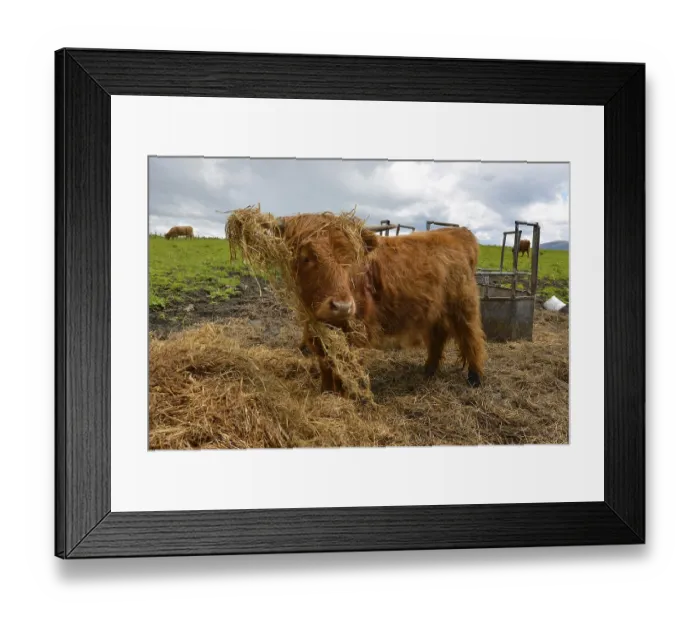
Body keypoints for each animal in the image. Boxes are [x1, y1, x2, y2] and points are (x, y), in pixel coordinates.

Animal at [262, 212, 486, 396]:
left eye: (351, 259)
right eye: (306, 257)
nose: (342, 307)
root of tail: (457, 232)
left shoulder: (356, 331)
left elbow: (346, 365)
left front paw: (346, 395)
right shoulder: (316, 330)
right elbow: (326, 362)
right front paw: (326, 392)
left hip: (464, 307)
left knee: (471, 337)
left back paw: (475, 378)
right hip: (435, 310)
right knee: (438, 337)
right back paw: (429, 371)